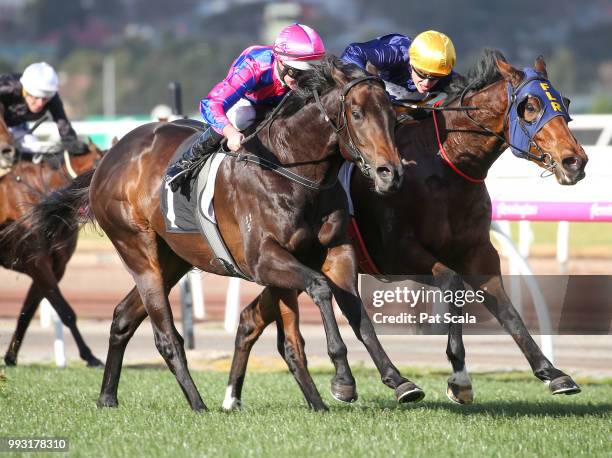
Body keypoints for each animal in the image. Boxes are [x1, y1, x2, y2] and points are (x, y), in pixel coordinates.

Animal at [0, 141, 104, 366]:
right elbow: (65, 312)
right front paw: (89, 355)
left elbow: (27, 312)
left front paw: (11, 356)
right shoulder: (38, 264)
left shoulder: (54, 267)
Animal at [28, 57, 428, 412]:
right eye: (357, 114)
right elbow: (319, 290)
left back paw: (108, 397)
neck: (292, 170)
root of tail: (110, 157)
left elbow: (356, 315)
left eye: (392, 116)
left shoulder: (334, 253)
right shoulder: (263, 259)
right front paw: (343, 379)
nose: (390, 173)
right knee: (166, 336)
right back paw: (198, 404)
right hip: (138, 251)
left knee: (124, 317)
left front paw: (398, 380)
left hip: (173, 259)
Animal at [221, 49, 588, 408]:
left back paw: (232, 397)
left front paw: (552, 373)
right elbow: (452, 282)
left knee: (252, 317)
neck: (445, 165)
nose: (575, 162)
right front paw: (459, 377)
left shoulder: (477, 252)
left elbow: (508, 311)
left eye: (565, 102)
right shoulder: (396, 253)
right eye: (530, 106)